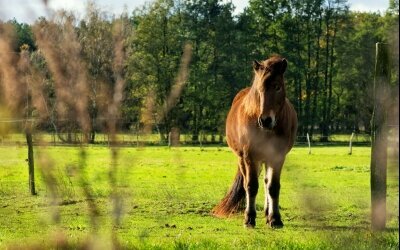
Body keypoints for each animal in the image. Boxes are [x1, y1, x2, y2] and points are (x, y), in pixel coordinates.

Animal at [212, 55, 296, 229]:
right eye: (259, 89)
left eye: (277, 87)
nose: (265, 120)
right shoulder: (250, 156)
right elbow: (251, 186)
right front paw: (249, 218)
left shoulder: (277, 157)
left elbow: (273, 187)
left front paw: (275, 219)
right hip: (243, 159)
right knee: (248, 183)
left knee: (266, 182)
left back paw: (267, 213)